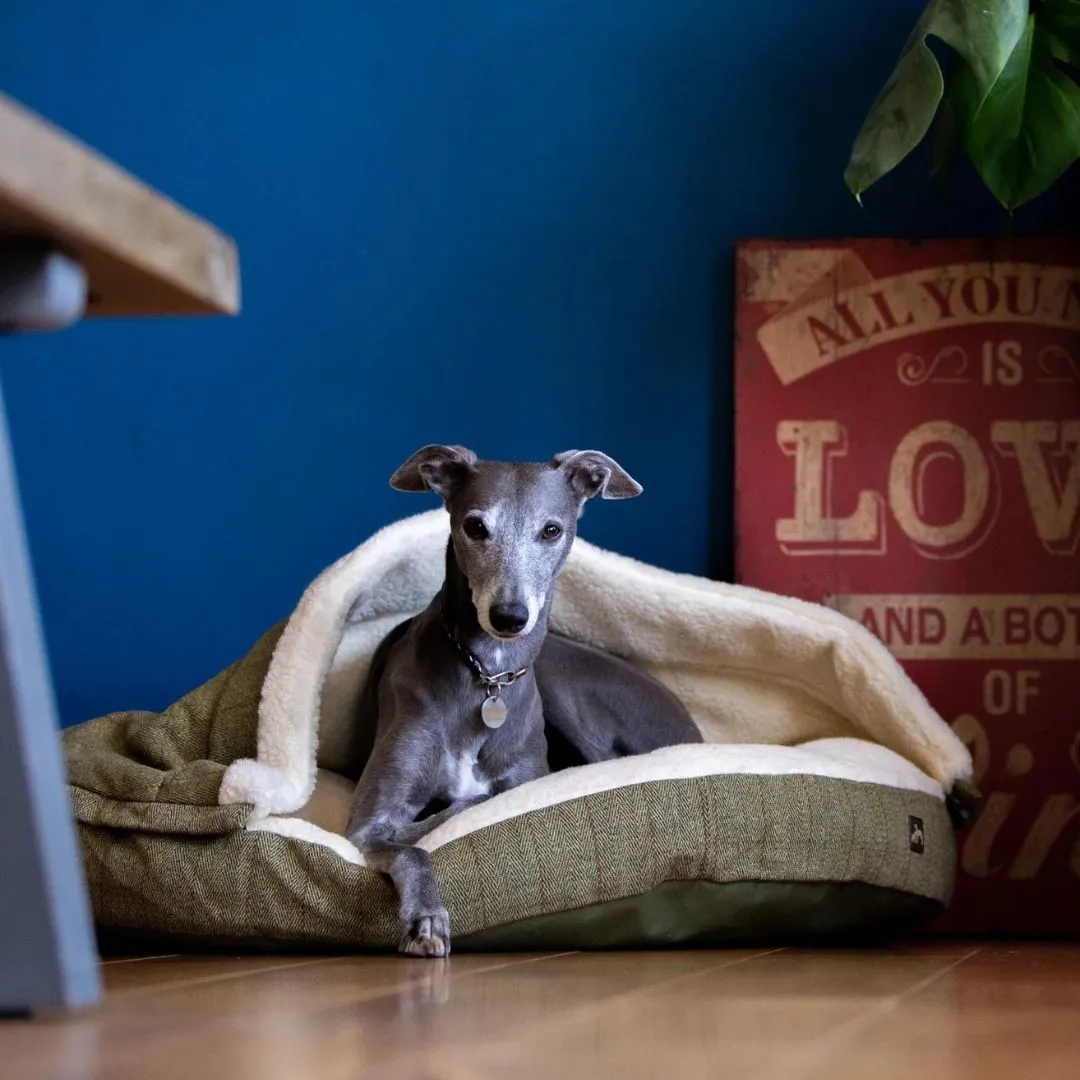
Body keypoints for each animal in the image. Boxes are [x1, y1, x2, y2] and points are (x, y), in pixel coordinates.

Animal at [345, 442, 699, 959]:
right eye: (475, 526)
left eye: (551, 530)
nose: (509, 617)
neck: (487, 674)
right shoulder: (369, 820)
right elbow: (413, 841)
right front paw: (426, 918)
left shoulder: (527, 777)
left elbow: (480, 801)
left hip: (561, 686)